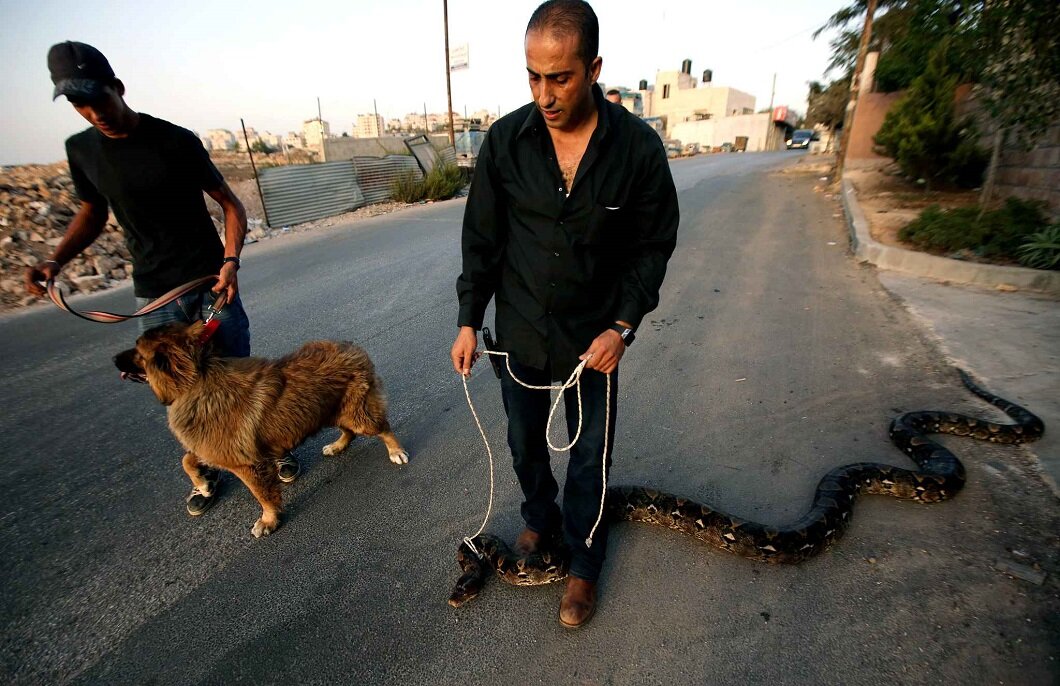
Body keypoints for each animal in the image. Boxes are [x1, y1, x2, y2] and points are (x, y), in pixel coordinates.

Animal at [113, 322, 407, 536]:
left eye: (137, 351)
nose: (114, 359)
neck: (194, 380)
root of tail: (350, 346)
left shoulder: (246, 464)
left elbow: (262, 495)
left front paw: (268, 520)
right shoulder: (213, 448)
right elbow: (187, 459)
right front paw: (204, 485)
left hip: (355, 412)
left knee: (382, 428)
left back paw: (396, 451)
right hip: (329, 410)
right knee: (349, 431)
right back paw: (337, 446)